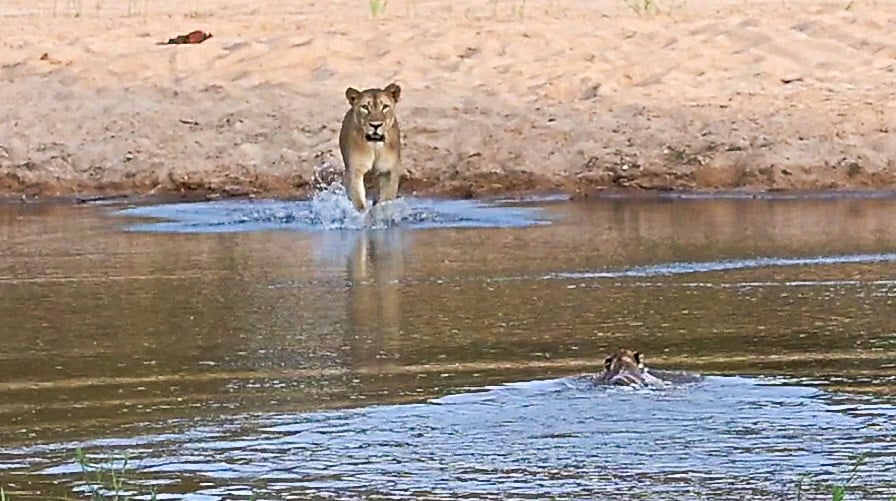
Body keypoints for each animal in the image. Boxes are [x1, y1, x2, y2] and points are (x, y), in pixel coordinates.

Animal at [338, 83, 402, 212]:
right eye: (364, 107)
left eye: (385, 107)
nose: (375, 125)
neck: (375, 145)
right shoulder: (355, 169)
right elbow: (359, 201)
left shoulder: (388, 171)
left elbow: (386, 200)